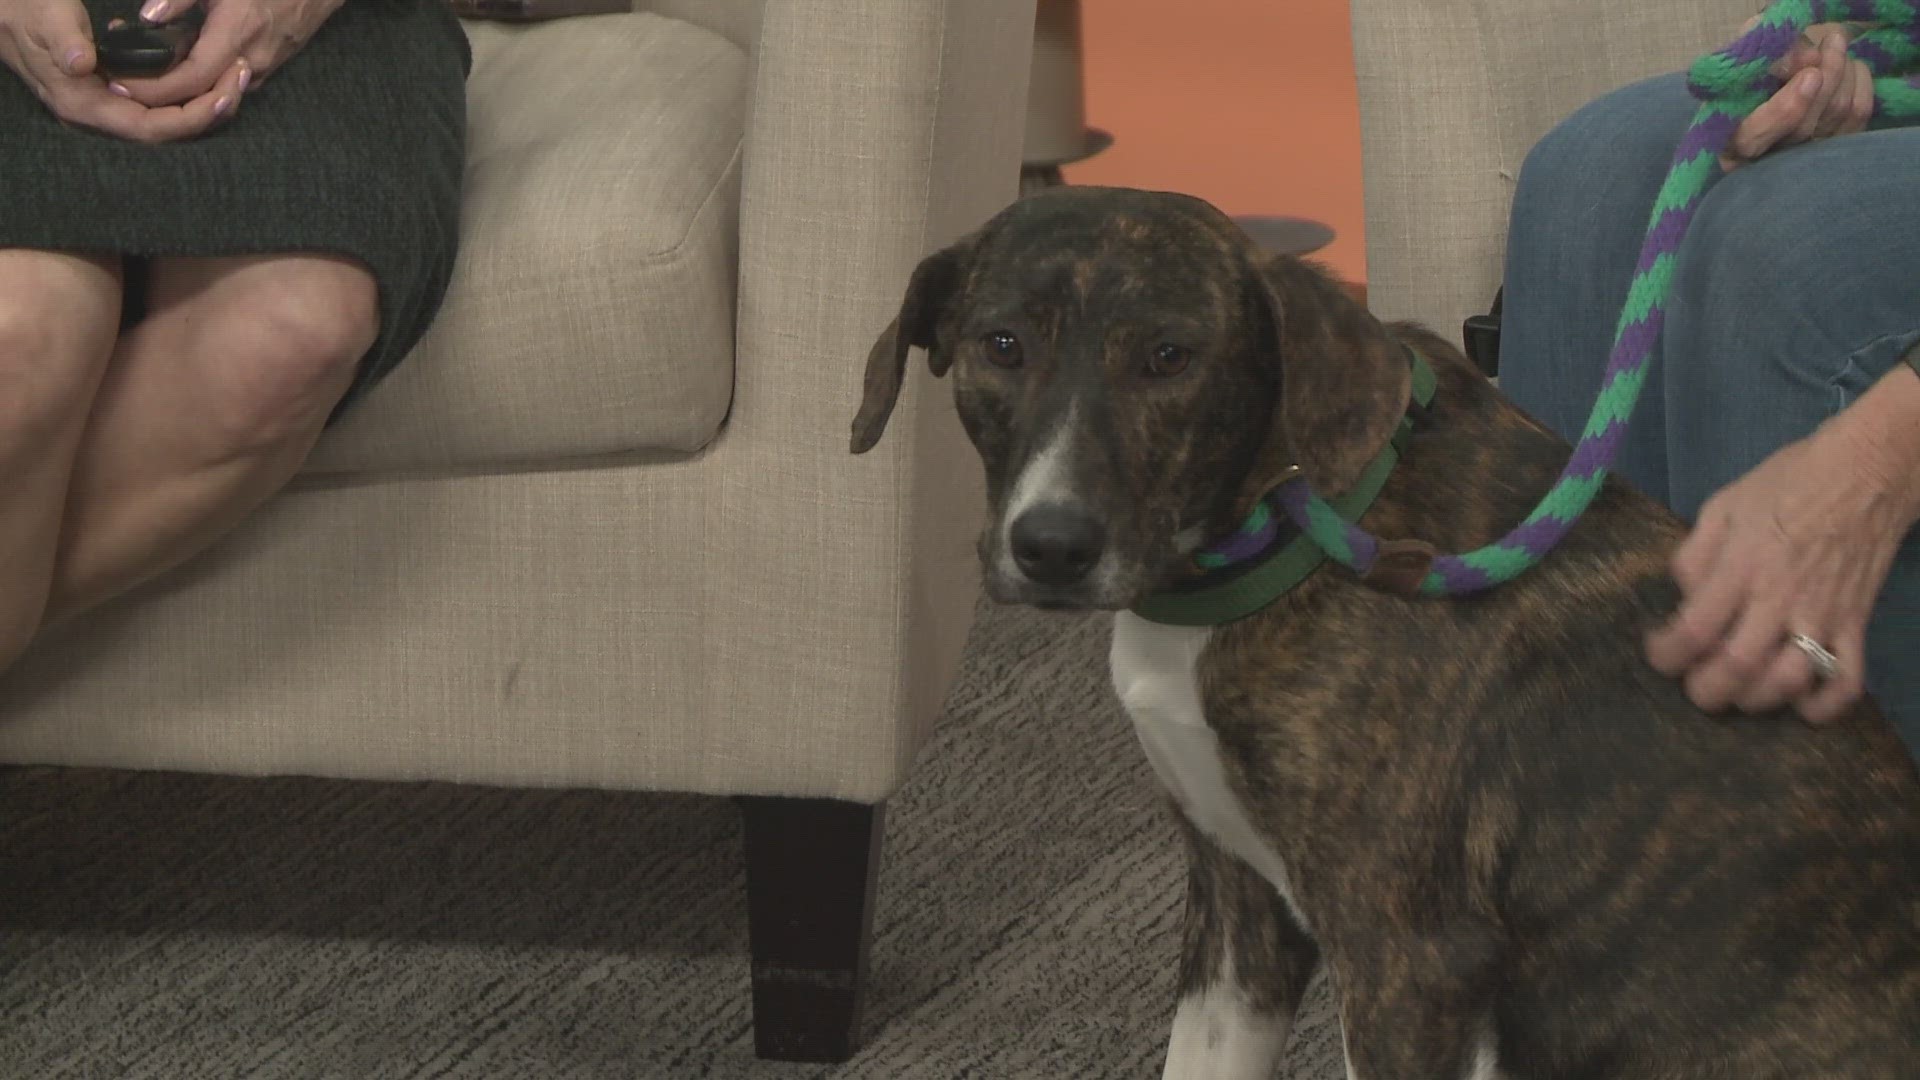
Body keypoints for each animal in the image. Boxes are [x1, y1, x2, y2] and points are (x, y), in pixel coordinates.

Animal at [856, 187, 1920, 1076]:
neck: (1287, 532)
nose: (1051, 546)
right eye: (1001, 345)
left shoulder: (1408, 958)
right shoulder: (1240, 914)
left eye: (1169, 356)